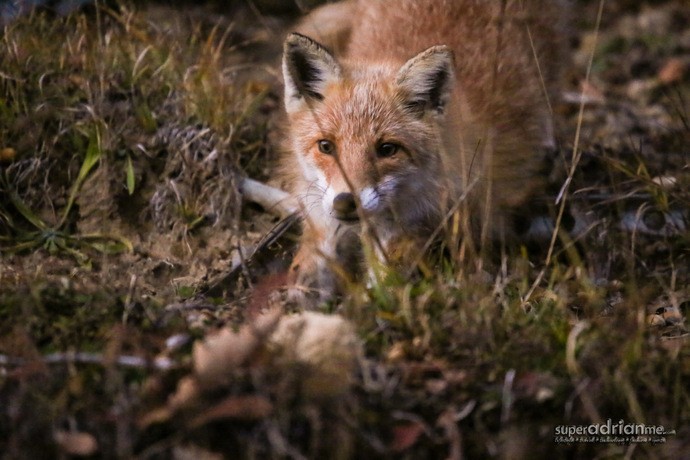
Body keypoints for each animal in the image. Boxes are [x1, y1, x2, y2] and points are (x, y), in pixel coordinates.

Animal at [278, 0, 564, 300]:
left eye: (387, 149)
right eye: (326, 146)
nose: (345, 202)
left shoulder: (417, 222)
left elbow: (384, 290)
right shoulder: (322, 209)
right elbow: (314, 256)